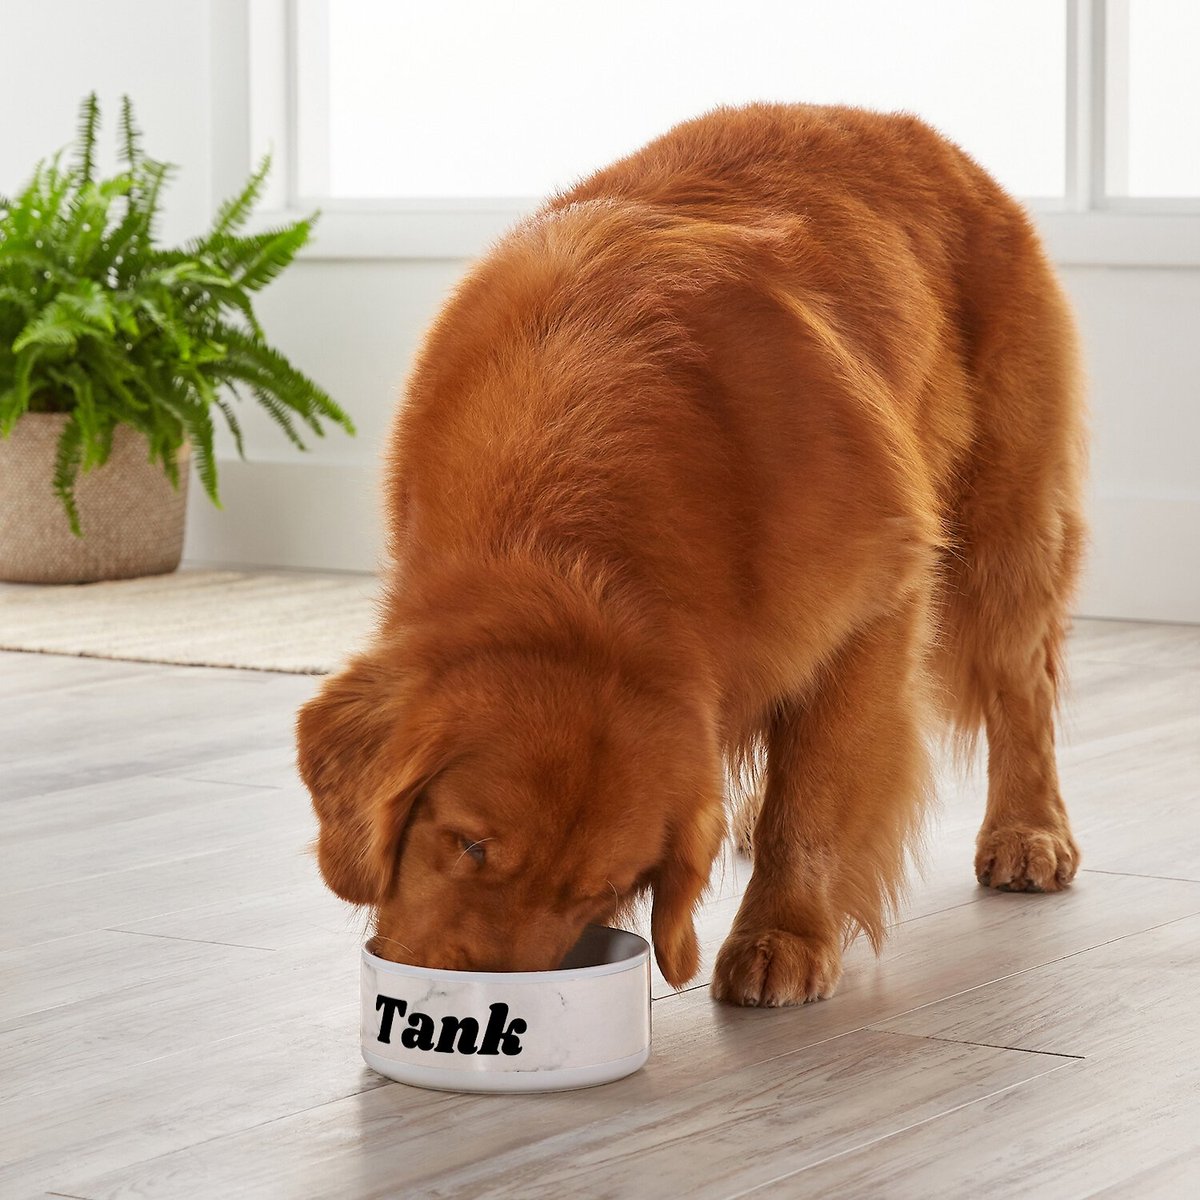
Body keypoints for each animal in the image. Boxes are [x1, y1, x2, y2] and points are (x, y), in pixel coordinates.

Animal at [295, 103, 1084, 1008]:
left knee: (1023, 688)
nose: (491, 1007)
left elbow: (813, 799)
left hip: (1003, 531)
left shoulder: (875, 605)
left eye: (600, 889)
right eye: (466, 844)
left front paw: (783, 934)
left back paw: (1030, 830)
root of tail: (919, 134)